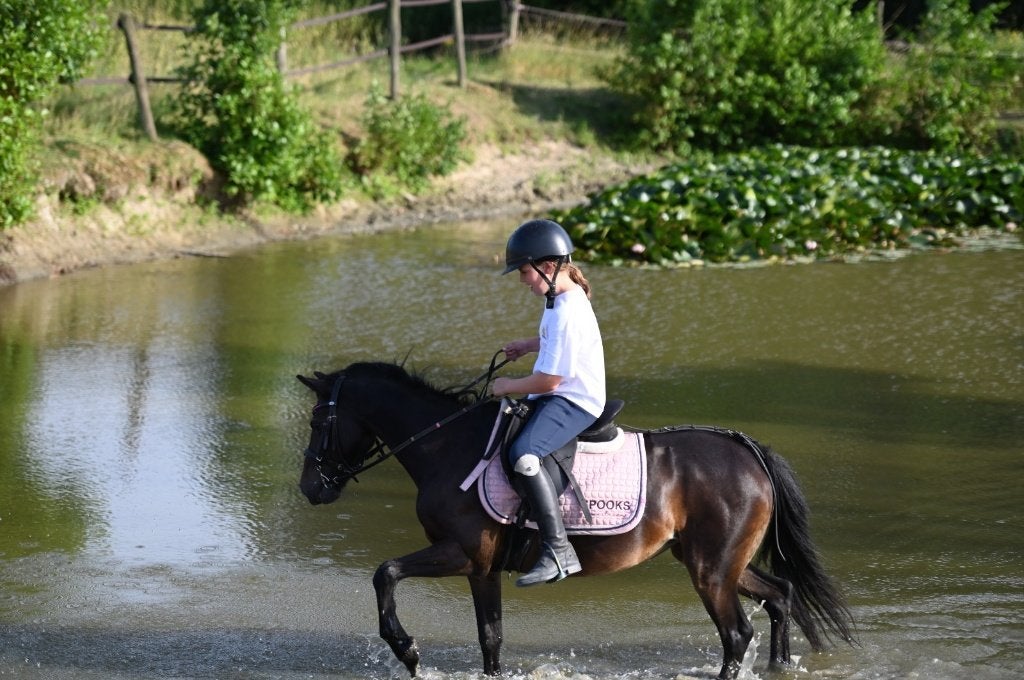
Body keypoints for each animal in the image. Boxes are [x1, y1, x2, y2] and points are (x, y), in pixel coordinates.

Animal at [296, 361, 855, 679]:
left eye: (318, 421)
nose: (310, 487)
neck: (446, 446)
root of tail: (747, 450)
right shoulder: (481, 569)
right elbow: (490, 637)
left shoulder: (460, 554)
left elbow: (385, 572)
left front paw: (407, 650)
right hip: (717, 562)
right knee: (780, 596)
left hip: (711, 571)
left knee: (736, 634)